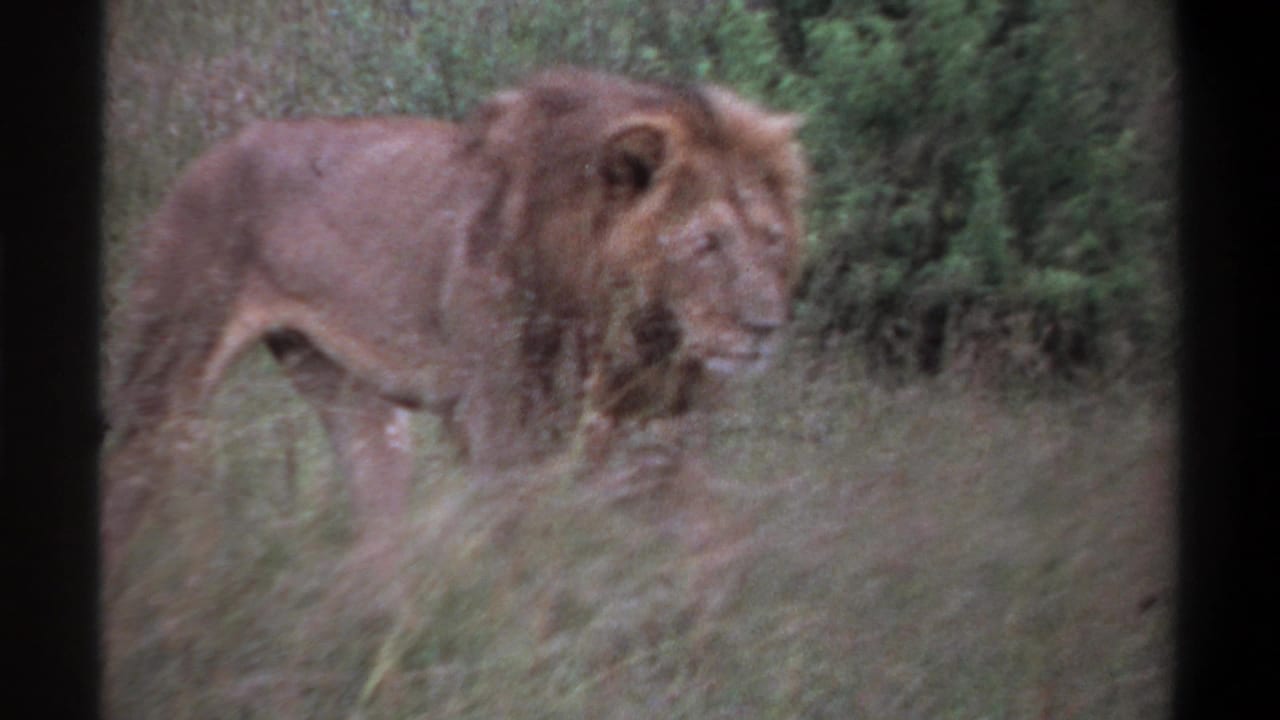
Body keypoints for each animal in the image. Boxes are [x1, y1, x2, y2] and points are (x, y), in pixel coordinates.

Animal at [103, 67, 807, 573]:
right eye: (706, 245)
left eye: (772, 240)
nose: (766, 327)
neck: (633, 328)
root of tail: (208, 156)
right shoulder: (501, 425)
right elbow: (526, 566)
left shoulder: (656, 438)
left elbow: (718, 543)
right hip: (166, 372)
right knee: (130, 478)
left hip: (354, 402)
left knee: (377, 529)